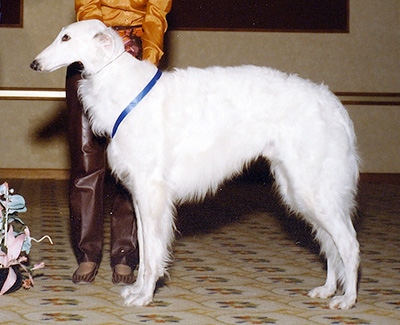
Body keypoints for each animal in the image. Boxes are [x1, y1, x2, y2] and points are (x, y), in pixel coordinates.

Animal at [31, 19, 360, 308]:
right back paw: (328, 290)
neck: (123, 88)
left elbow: (152, 253)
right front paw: (137, 289)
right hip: (300, 191)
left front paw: (144, 296)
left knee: (348, 244)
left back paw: (347, 299)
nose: (34, 64)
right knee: (330, 245)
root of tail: (334, 103)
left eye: (66, 38)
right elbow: (144, 248)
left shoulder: (153, 195)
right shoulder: (139, 194)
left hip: (313, 189)